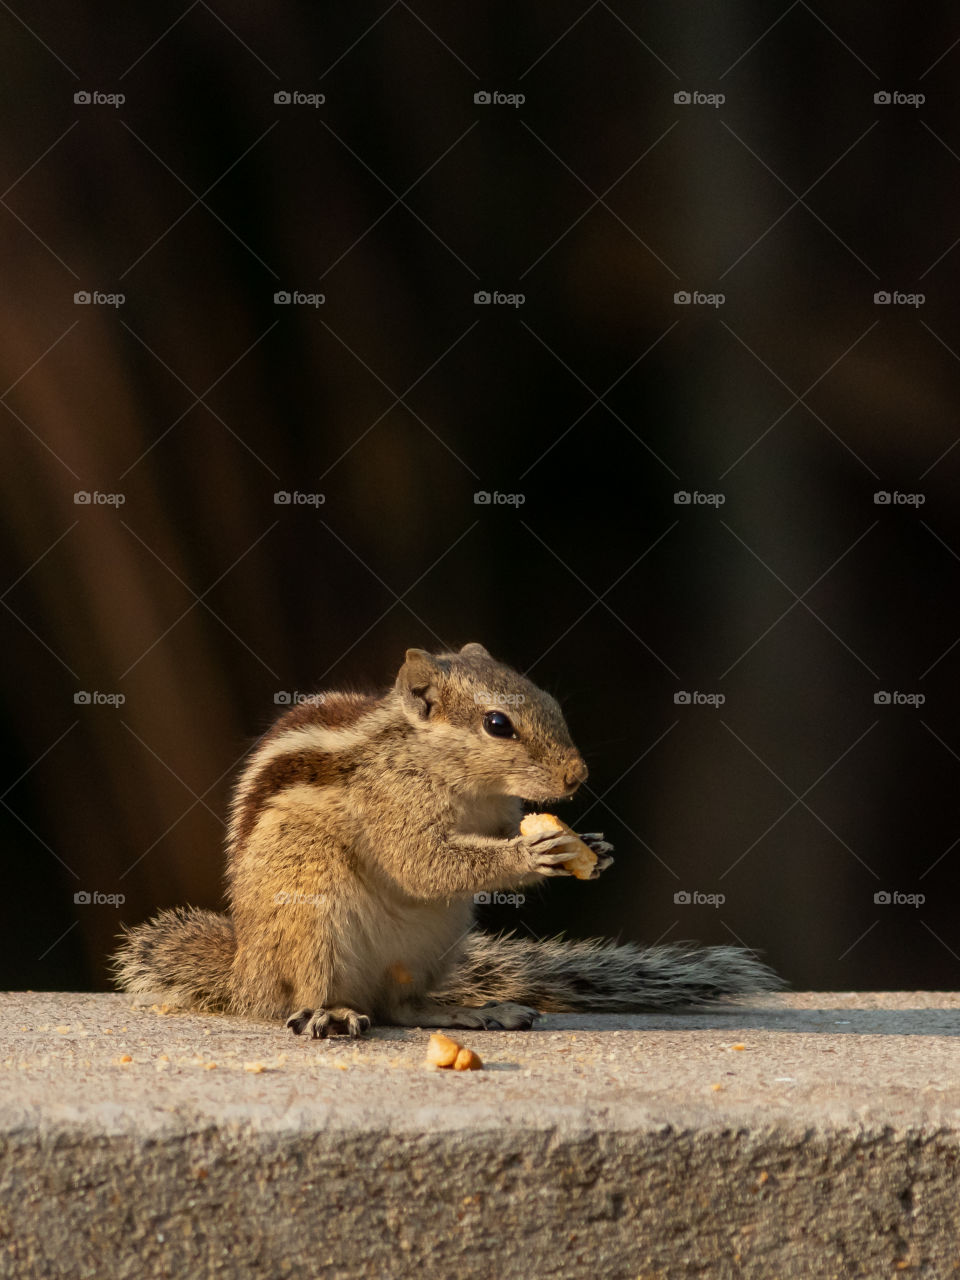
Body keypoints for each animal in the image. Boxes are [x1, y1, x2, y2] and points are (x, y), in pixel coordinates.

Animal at [112, 643, 781, 1036]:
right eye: (497, 724)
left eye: (550, 701)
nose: (577, 777)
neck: (460, 777)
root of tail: (244, 974)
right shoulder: (394, 805)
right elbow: (422, 863)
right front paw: (531, 853)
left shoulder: (498, 813)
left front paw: (593, 844)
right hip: (312, 916)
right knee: (306, 994)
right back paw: (328, 1012)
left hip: (434, 942)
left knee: (400, 1009)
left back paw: (474, 1011)